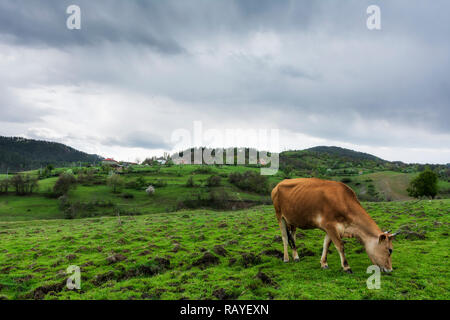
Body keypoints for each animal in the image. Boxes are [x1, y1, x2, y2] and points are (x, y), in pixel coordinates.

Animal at [268, 178, 396, 272]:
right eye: (390, 250)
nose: (390, 269)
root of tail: (278, 184)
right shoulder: (330, 226)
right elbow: (340, 246)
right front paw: (346, 267)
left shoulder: (332, 228)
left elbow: (326, 245)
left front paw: (323, 263)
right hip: (279, 216)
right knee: (285, 237)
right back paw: (286, 258)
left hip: (293, 219)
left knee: (292, 237)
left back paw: (296, 256)